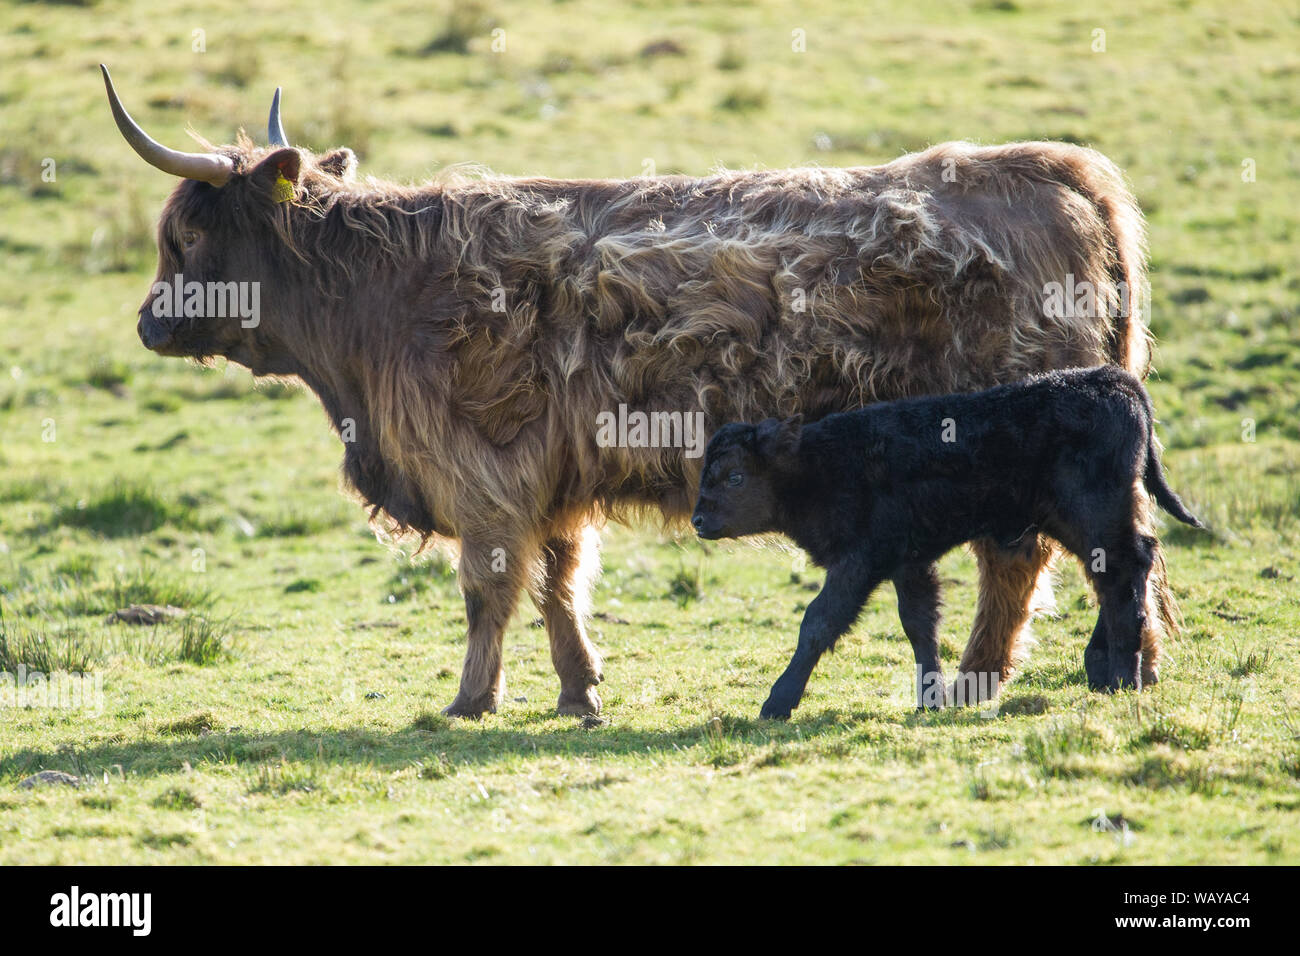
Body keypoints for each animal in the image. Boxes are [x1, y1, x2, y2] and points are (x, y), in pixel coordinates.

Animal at [691, 366, 1196, 717]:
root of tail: (1111, 381)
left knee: (1123, 572)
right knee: (1123, 571)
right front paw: (929, 699)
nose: (698, 520)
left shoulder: (858, 561)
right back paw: (1104, 669)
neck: (820, 463)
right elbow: (919, 625)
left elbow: (818, 622)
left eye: (735, 476)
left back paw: (1122, 678)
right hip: (1075, 522)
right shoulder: (908, 562)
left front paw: (777, 703)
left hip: (1095, 516)